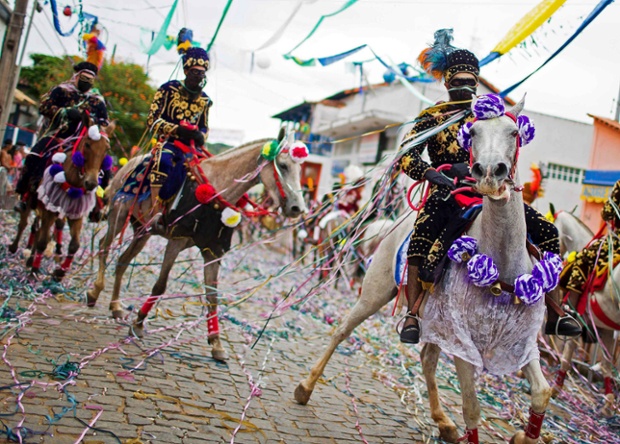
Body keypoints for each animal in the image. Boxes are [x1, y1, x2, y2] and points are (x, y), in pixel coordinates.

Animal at [27, 113, 115, 280]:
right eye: (87, 144)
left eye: (107, 149)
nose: (91, 183)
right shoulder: (49, 208)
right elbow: (42, 240)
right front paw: (34, 271)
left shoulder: (77, 212)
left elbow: (74, 245)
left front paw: (60, 272)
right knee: (39, 229)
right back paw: (30, 259)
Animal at [298, 98, 556, 444]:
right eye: (472, 132)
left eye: (514, 132)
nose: (489, 172)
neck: (501, 269)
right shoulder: (463, 344)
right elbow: (471, 407)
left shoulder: (522, 343)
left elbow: (542, 392)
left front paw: (522, 436)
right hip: (376, 292)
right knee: (342, 330)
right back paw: (306, 387)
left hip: (435, 320)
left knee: (427, 360)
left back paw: (443, 422)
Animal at [556, 210, 616, 414]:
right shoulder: (604, 329)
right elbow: (606, 366)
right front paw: (608, 404)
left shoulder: (579, 318)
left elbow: (567, 355)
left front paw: (556, 387)